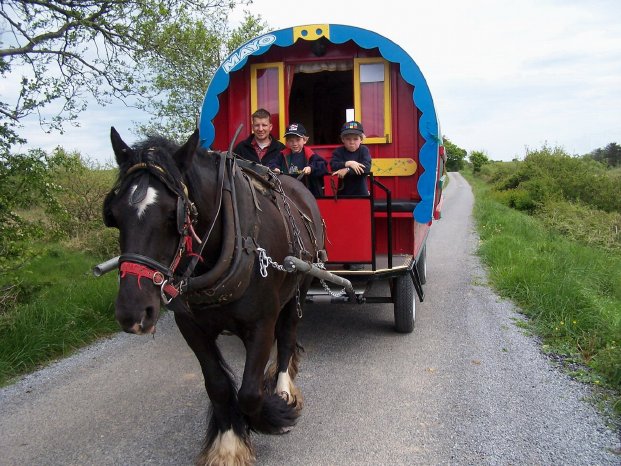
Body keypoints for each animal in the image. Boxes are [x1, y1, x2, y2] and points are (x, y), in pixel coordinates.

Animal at [101, 128, 324, 466]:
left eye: (174, 214)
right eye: (113, 215)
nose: (133, 313)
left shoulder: (261, 322)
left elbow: (249, 392)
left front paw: (273, 415)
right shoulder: (190, 327)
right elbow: (218, 385)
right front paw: (229, 443)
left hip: (299, 284)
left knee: (286, 337)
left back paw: (284, 388)